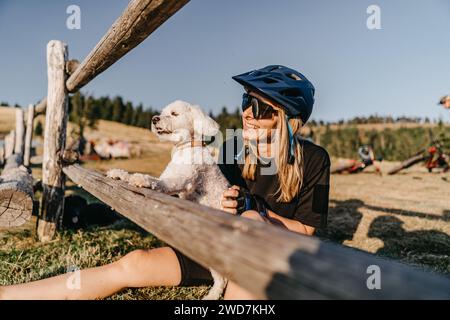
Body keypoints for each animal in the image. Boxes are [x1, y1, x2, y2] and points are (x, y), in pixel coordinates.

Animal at [106, 99, 229, 300]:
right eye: (162, 112)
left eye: (174, 114)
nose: (154, 119)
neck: (185, 149)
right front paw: (119, 174)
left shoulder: (179, 181)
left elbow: (158, 182)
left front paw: (141, 179)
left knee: (222, 280)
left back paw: (212, 295)